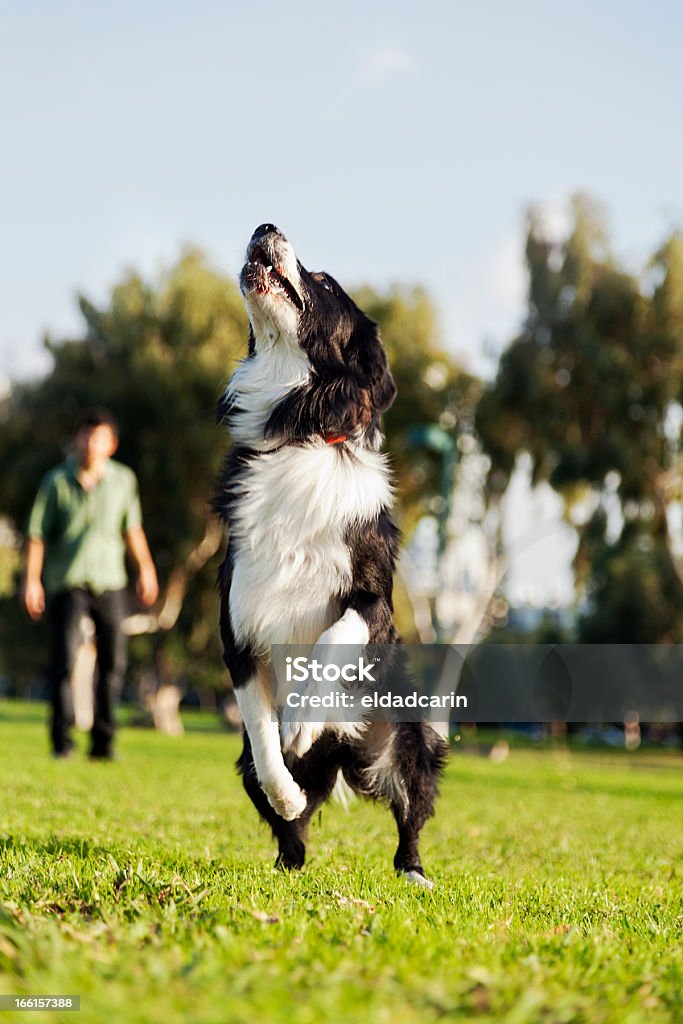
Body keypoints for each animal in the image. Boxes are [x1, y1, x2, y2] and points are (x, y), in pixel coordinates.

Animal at [216, 226, 446, 888]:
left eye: (323, 283)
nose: (265, 227)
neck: (300, 426)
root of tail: (347, 757)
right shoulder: (237, 627)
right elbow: (265, 738)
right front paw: (286, 782)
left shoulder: (376, 605)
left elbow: (333, 634)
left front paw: (301, 716)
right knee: (289, 822)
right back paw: (288, 860)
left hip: (414, 739)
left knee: (410, 814)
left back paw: (413, 872)